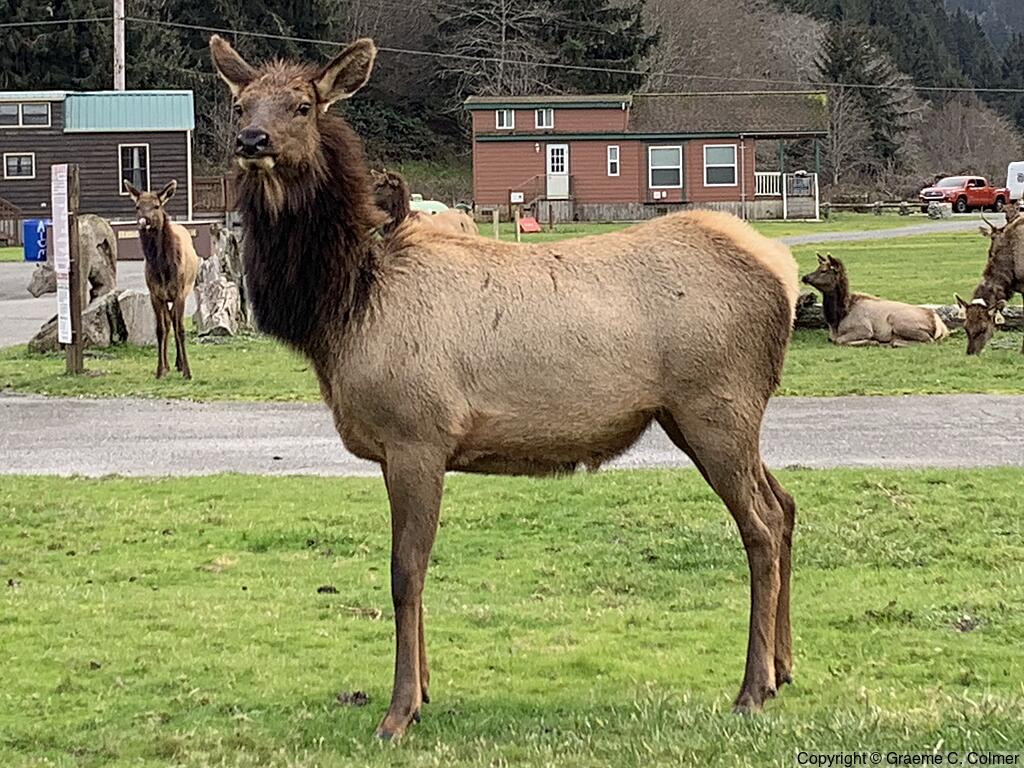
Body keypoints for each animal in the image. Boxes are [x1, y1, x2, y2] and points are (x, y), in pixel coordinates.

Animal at [124, 180, 200, 379]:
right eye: (137, 206)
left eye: (156, 206)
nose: (143, 221)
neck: (163, 269)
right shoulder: (155, 294)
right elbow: (160, 330)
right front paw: (159, 370)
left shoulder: (179, 292)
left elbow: (181, 330)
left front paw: (188, 372)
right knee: (168, 322)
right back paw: (168, 365)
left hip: (185, 290)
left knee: (174, 321)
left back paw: (179, 363)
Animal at [211, 34, 799, 740]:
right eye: (240, 101)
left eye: (303, 104)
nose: (252, 139)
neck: (343, 308)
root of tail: (786, 275)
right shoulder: (395, 449)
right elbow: (414, 571)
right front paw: (424, 689)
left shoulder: (417, 435)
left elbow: (405, 572)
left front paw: (399, 711)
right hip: (706, 417)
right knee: (787, 504)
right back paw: (786, 667)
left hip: (717, 406)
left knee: (760, 526)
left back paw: (752, 687)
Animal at [802, 253, 949, 346]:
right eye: (818, 267)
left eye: (823, 270)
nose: (804, 277)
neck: (837, 319)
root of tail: (940, 325)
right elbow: (832, 339)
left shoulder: (863, 329)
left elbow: (839, 341)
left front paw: (872, 341)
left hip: (899, 321)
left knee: (929, 340)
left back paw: (890, 342)